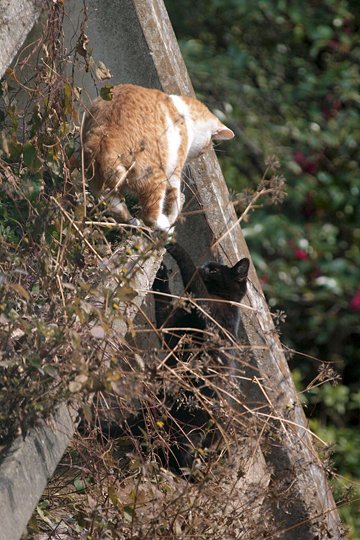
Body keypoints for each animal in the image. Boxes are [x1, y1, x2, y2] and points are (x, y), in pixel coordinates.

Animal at [81, 84, 233, 230]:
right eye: (204, 150)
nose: (195, 158)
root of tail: (104, 138)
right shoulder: (174, 170)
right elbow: (174, 197)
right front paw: (174, 213)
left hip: (99, 182)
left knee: (116, 206)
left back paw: (133, 222)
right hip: (154, 176)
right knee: (150, 216)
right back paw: (164, 226)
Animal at [153, 243, 250, 474]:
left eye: (213, 270)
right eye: (207, 265)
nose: (202, 266)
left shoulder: (207, 310)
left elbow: (193, 279)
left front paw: (175, 247)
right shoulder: (169, 325)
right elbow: (162, 297)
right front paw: (160, 270)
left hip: (190, 427)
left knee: (185, 455)